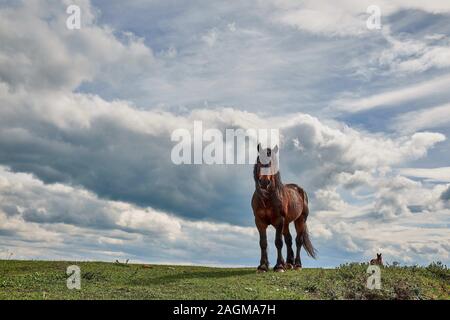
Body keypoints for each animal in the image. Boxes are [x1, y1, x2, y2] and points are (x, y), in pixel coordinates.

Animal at [250, 144, 316, 272]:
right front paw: (263, 266)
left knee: (298, 241)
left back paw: (297, 265)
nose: (264, 182)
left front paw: (279, 266)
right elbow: (263, 243)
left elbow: (278, 242)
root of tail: (299, 190)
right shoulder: (259, 222)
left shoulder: (279, 221)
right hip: (286, 223)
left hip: (300, 220)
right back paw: (289, 263)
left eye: (272, 162)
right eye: (259, 161)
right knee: (289, 240)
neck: (267, 198)